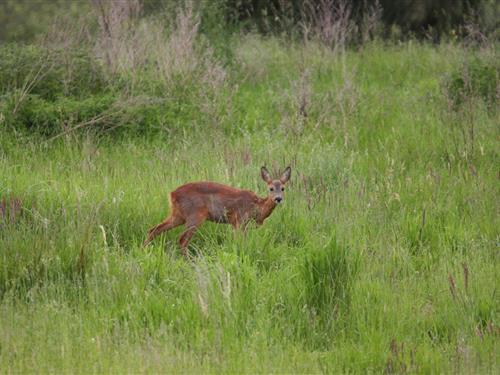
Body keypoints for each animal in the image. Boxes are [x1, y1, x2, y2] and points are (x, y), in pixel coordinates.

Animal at [143, 167, 292, 258]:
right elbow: (239, 242)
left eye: (283, 188)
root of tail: (172, 194)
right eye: (271, 188)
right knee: (182, 239)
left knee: (154, 229)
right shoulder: (239, 220)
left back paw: (143, 251)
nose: (278, 199)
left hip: (177, 215)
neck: (256, 207)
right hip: (195, 215)